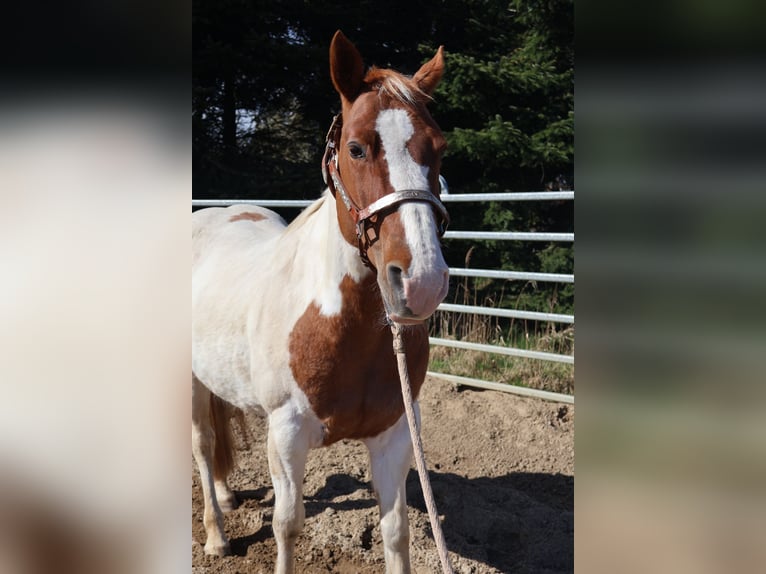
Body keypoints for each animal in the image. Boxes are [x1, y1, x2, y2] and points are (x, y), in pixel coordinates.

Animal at [192, 30, 449, 574]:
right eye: (355, 148)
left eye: (438, 148)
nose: (422, 281)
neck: (340, 326)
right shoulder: (287, 435)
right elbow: (287, 526)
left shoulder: (397, 434)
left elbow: (396, 532)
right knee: (203, 446)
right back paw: (216, 535)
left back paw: (226, 498)